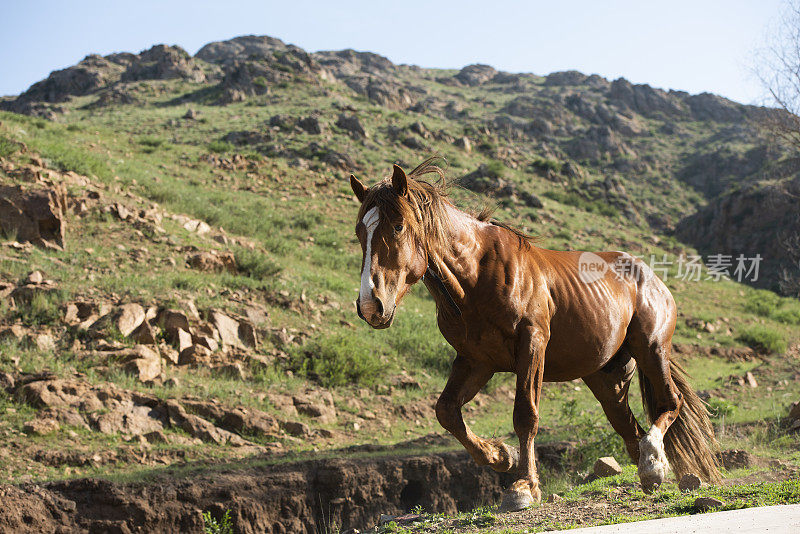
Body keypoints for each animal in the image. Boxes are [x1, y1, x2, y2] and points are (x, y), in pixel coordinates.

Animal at [348, 159, 720, 516]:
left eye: (398, 226)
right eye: (359, 232)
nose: (370, 305)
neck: (477, 276)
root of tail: (650, 275)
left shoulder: (531, 344)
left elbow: (525, 414)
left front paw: (523, 487)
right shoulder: (476, 361)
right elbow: (447, 412)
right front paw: (502, 455)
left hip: (651, 349)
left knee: (669, 403)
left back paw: (654, 463)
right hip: (605, 378)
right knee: (630, 429)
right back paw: (649, 469)